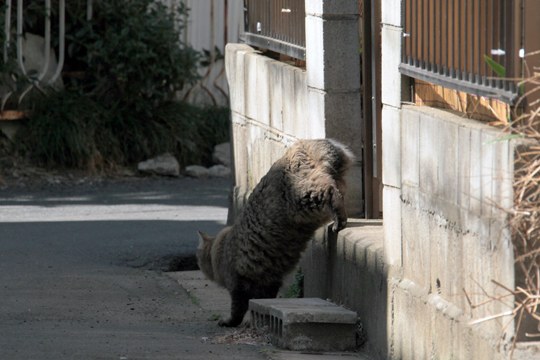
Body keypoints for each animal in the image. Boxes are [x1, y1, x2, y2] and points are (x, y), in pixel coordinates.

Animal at [195, 139, 354, 328]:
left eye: (198, 259)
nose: (198, 264)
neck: (220, 249)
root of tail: (310, 142)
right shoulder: (270, 280)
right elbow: (262, 301)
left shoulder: (238, 283)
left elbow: (238, 309)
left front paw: (229, 321)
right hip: (333, 181)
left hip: (306, 195)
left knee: (331, 193)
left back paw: (339, 220)